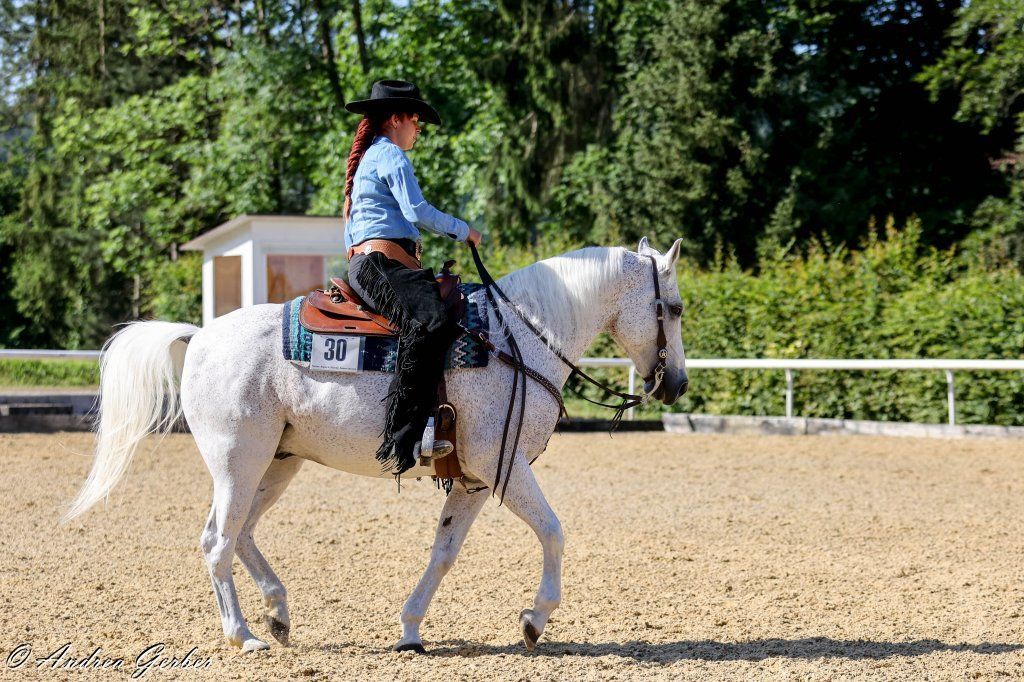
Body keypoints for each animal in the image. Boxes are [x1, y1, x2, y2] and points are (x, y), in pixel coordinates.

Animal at [63, 237, 689, 653]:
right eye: (677, 307)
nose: (677, 384)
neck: (519, 338)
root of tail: (198, 336)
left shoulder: (473, 479)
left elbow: (443, 553)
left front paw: (410, 629)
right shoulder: (504, 466)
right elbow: (555, 532)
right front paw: (535, 619)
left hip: (276, 464)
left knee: (238, 533)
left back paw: (278, 613)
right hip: (237, 462)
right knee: (218, 541)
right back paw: (243, 635)